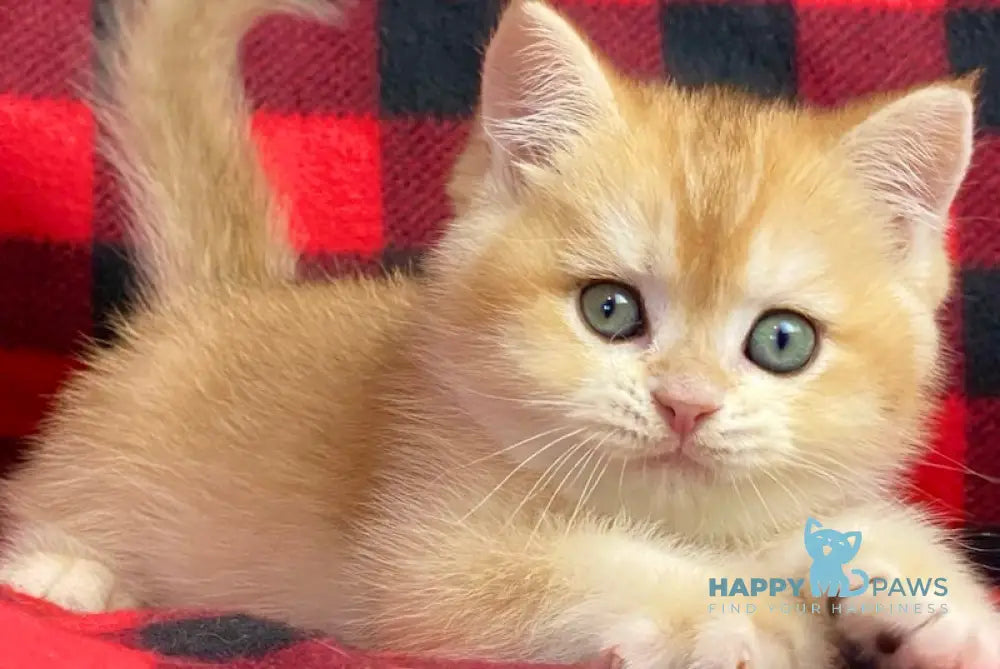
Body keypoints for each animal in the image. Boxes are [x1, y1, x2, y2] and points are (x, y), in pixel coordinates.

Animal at [1, 0, 1000, 664]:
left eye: (782, 341)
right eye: (609, 309)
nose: (685, 404)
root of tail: (228, 293)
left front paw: (936, 604)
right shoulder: (416, 557)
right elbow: (575, 567)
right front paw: (738, 617)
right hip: (98, 456)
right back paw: (65, 572)